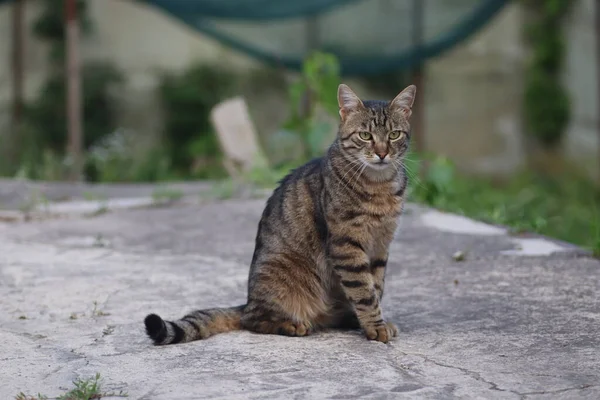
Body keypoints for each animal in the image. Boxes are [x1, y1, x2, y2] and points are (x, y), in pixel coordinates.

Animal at [146, 83, 418, 344]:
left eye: (394, 135)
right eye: (365, 135)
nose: (382, 153)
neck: (380, 186)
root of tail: (247, 302)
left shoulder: (381, 244)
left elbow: (376, 287)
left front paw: (373, 322)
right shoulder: (347, 244)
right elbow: (364, 292)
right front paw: (375, 326)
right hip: (281, 281)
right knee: (253, 320)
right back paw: (292, 324)